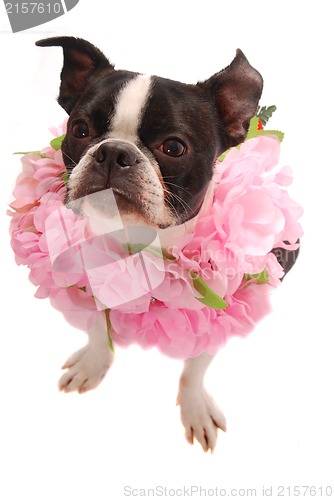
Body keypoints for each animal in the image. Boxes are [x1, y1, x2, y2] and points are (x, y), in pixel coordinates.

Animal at [34, 38, 298, 454]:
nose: (113, 152)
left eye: (173, 147)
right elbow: (97, 331)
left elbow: (195, 368)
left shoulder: (218, 314)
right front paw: (94, 363)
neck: (139, 240)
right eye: (79, 129)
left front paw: (194, 407)